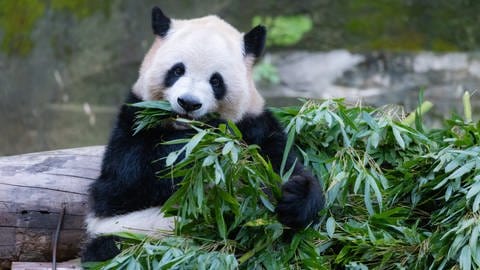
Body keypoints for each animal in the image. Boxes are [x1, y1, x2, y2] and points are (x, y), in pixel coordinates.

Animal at [82, 6, 324, 262]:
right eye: (177, 70)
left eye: (216, 81)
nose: (188, 103)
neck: (185, 127)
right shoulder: (133, 119)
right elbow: (128, 178)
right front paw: (200, 147)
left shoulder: (254, 125)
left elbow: (284, 164)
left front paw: (296, 197)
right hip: (131, 234)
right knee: (111, 249)